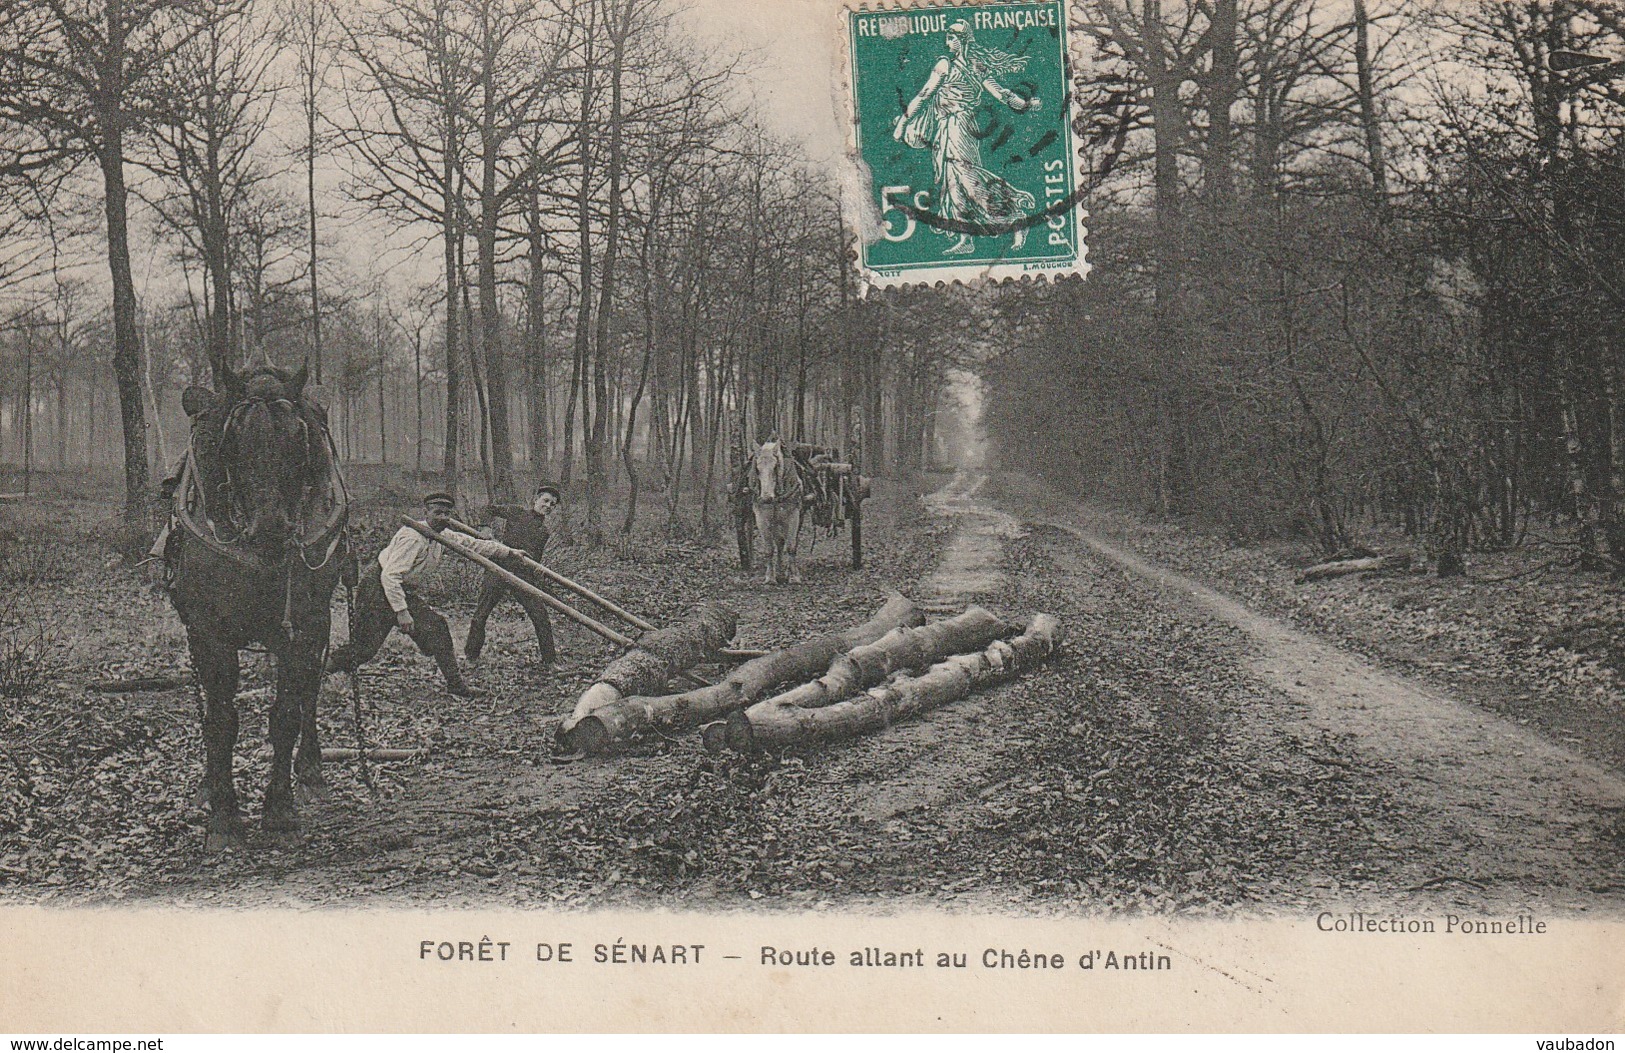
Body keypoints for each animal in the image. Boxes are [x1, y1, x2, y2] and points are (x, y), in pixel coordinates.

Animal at [168, 365, 349, 851]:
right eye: (231, 440)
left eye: (300, 438)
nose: (270, 529)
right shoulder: (208, 631)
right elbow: (220, 721)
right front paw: (224, 816)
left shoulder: (303, 627)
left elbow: (286, 714)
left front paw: (280, 810)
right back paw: (208, 785)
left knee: (309, 695)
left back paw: (311, 772)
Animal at [750, 435, 802, 585]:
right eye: (757, 469)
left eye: (775, 467)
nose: (766, 498)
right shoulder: (762, 518)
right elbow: (769, 549)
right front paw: (770, 577)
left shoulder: (793, 516)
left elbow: (791, 546)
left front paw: (794, 576)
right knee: (779, 543)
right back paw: (779, 571)